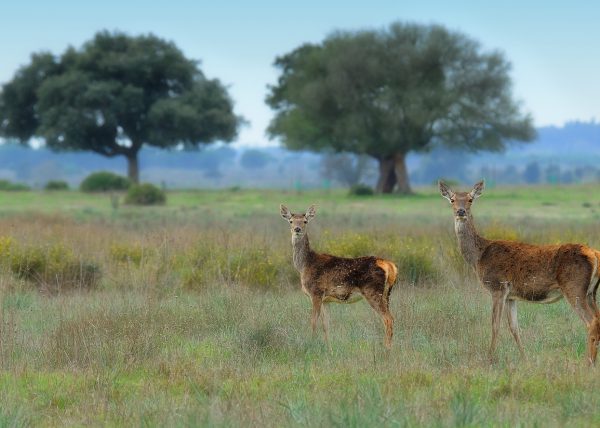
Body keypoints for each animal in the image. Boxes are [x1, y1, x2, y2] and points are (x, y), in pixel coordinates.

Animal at [280, 204, 398, 348]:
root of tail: (390, 266)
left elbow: (313, 322)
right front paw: (328, 347)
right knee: (391, 318)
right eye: (291, 221)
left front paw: (311, 344)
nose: (297, 229)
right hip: (387, 294)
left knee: (388, 319)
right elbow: (326, 325)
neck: (304, 265)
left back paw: (386, 348)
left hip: (373, 291)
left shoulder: (316, 292)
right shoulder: (326, 300)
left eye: (305, 221)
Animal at [438, 181, 600, 364]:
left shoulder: (498, 287)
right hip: (591, 292)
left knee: (591, 322)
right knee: (598, 320)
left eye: (470, 199)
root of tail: (594, 253)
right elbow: (514, 327)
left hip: (574, 287)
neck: (478, 257)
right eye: (452, 199)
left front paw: (490, 359)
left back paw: (589, 362)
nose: (461, 211)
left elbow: (495, 325)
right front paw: (525, 358)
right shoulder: (511, 296)